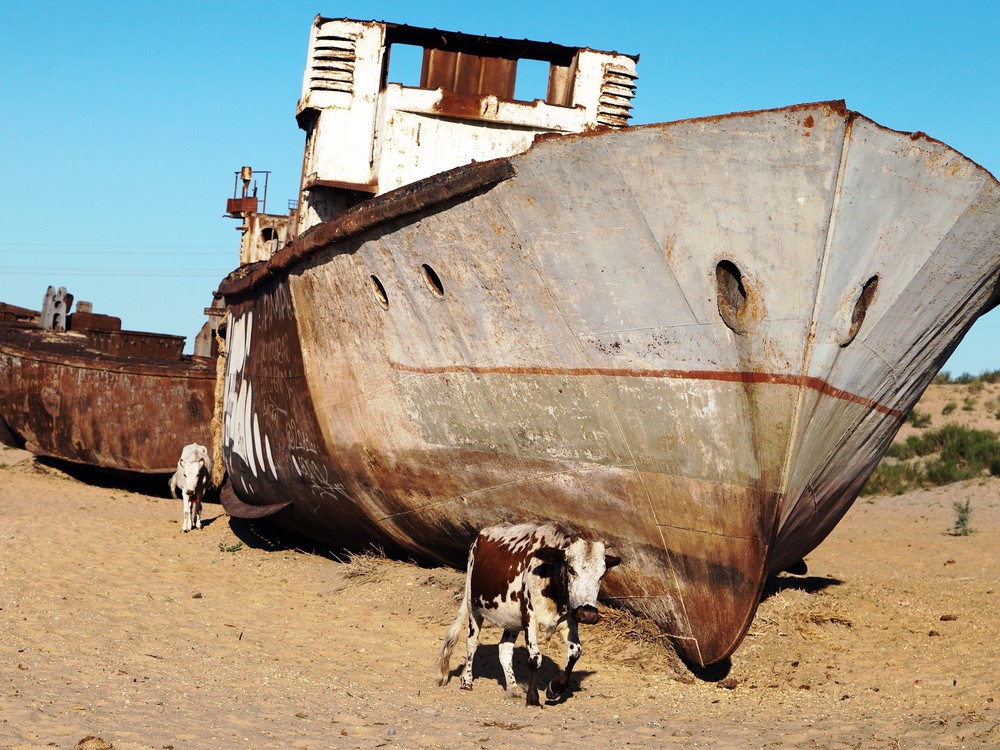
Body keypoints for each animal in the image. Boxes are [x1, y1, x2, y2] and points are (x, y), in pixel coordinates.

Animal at [436, 524, 616, 708]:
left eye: (602, 575)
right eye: (571, 569)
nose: (588, 614)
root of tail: (481, 534)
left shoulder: (570, 620)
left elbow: (575, 652)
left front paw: (554, 688)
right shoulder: (530, 618)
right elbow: (535, 658)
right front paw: (533, 698)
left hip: (512, 622)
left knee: (504, 649)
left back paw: (512, 688)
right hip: (474, 608)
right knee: (471, 643)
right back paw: (466, 681)